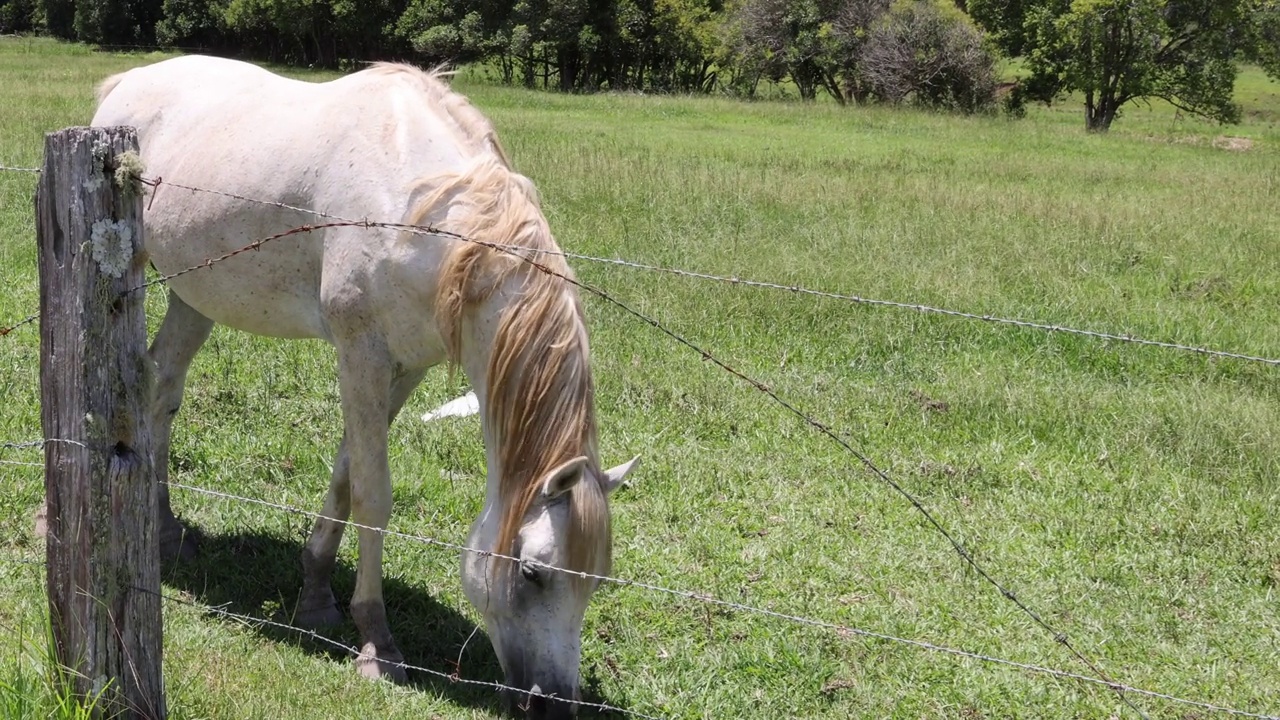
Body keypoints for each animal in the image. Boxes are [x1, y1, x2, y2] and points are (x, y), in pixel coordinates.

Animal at [92, 54, 640, 712]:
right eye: (535, 573)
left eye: (597, 581)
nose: (555, 702)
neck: (425, 214)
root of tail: (125, 83)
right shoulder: (361, 358)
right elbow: (374, 496)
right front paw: (377, 642)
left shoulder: (404, 368)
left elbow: (346, 474)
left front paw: (315, 593)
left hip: (193, 296)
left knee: (162, 392)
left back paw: (167, 530)